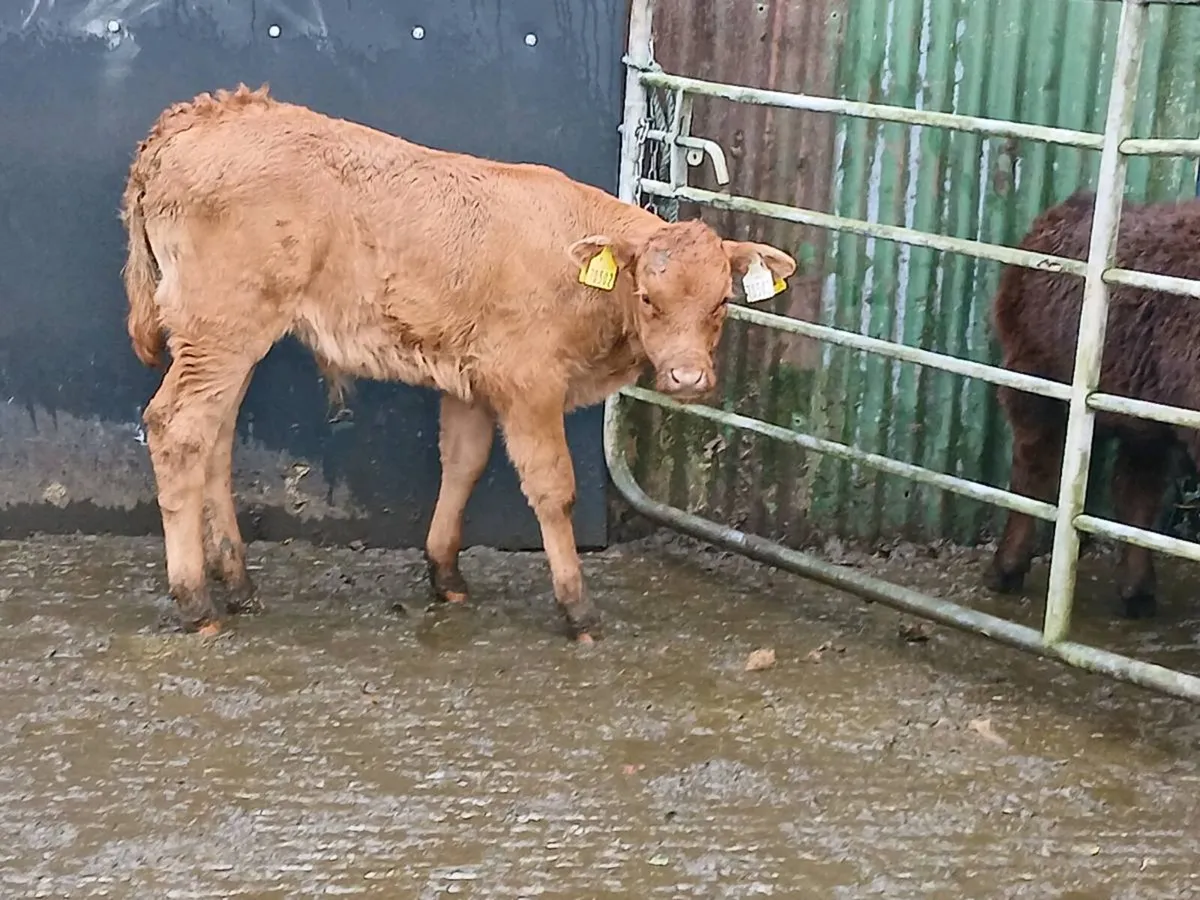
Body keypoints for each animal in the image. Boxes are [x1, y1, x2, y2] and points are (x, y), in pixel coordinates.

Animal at [120, 84, 796, 642]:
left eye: (720, 302)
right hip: (221, 327)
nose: (688, 377)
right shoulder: (529, 382)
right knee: (177, 430)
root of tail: (202, 115)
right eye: (650, 299)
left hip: (228, 337)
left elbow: (463, 464)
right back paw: (195, 601)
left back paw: (237, 583)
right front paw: (576, 607)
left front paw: (444, 572)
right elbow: (553, 487)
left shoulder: (472, 378)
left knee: (215, 438)